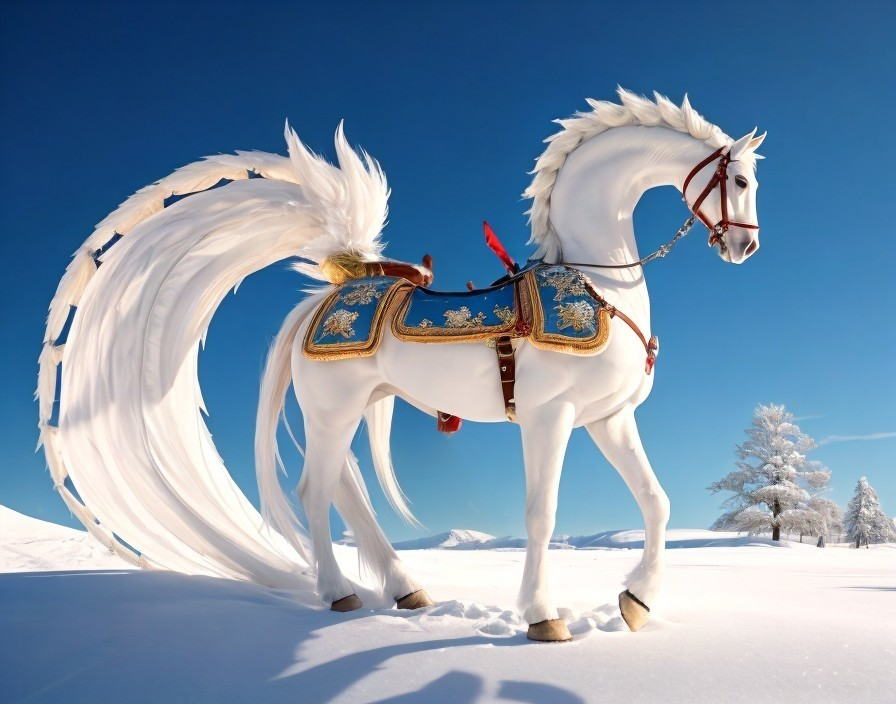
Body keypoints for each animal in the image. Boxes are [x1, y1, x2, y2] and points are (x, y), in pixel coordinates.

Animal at [38, 88, 763, 643]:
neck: (597, 280)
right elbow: (542, 513)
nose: (746, 248)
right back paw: (339, 593)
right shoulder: (548, 417)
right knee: (314, 491)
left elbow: (657, 502)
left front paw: (636, 601)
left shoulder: (607, 418)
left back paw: (406, 588)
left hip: (358, 406)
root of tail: (322, 299)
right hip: (333, 410)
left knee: (344, 492)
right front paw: (542, 618)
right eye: (742, 180)